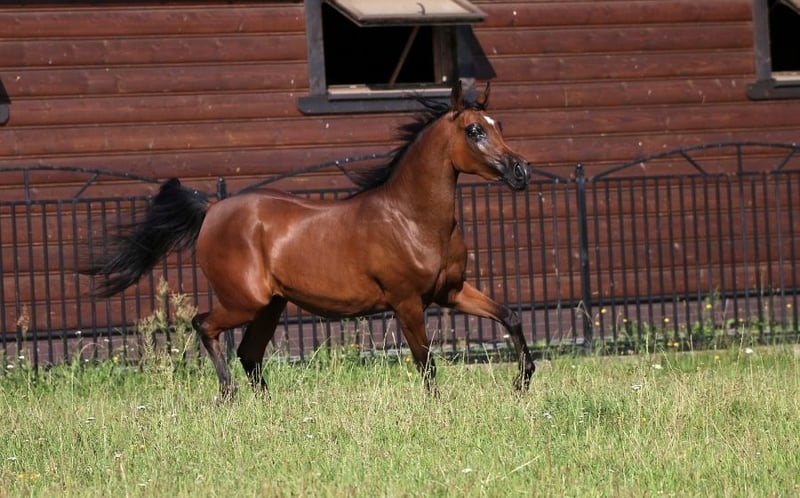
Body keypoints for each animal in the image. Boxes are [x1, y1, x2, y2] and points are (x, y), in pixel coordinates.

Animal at [83, 82, 536, 399]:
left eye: (499, 126)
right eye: (474, 130)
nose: (521, 171)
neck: (413, 218)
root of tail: (211, 211)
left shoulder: (451, 291)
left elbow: (509, 316)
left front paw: (523, 381)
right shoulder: (407, 302)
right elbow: (426, 363)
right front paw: (437, 407)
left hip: (271, 305)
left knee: (249, 353)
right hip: (243, 301)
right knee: (204, 326)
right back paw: (227, 395)